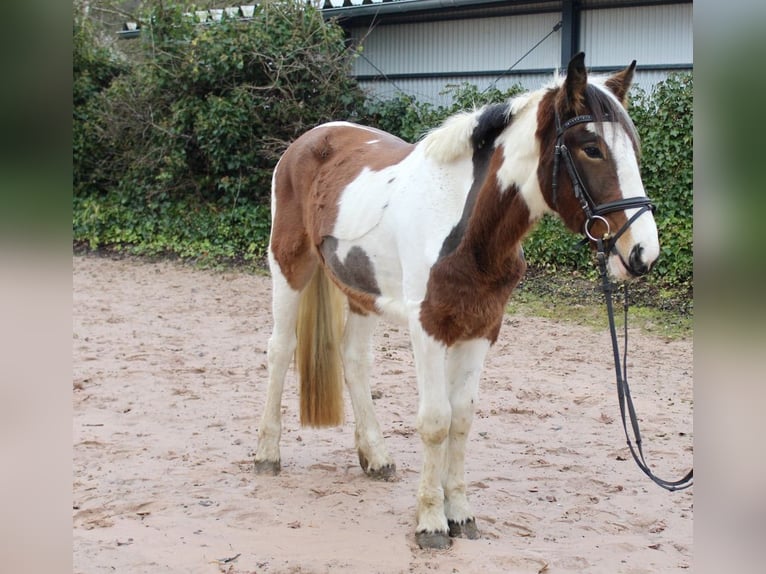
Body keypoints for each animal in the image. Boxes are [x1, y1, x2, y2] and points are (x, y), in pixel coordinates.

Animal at [252, 55, 660, 552]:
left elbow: (461, 418)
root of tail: (307, 141)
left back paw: (376, 457)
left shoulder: (482, 328)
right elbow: (435, 421)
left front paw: (460, 514)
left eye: (632, 150)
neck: (464, 227)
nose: (642, 254)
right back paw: (267, 455)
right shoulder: (428, 327)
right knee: (280, 350)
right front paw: (430, 522)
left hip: (361, 291)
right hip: (289, 267)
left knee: (354, 360)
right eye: (592, 148)